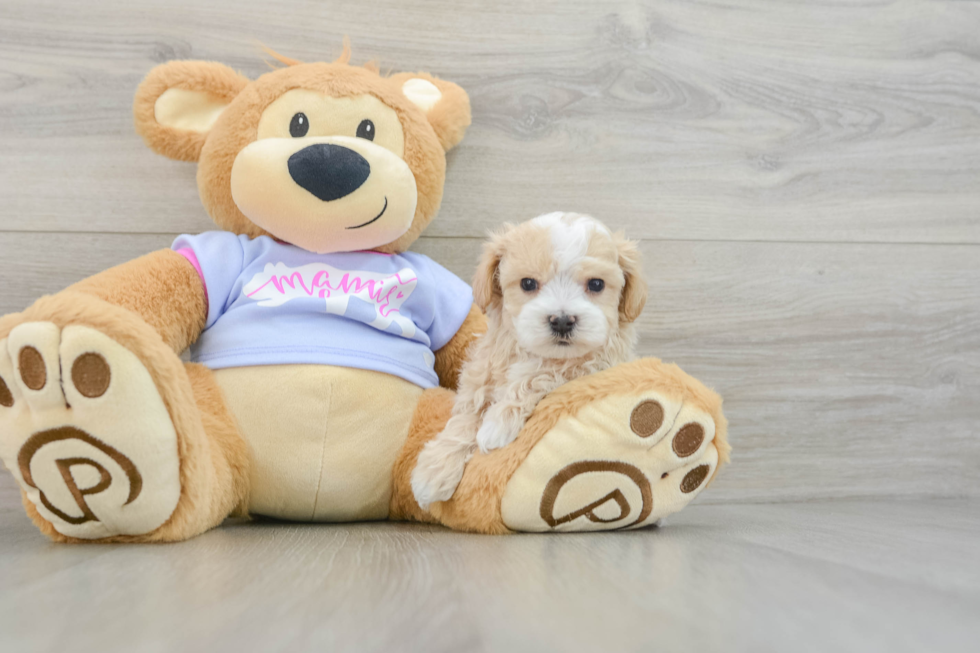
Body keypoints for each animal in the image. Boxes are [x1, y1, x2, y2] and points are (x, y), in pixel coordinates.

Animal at [410, 214, 648, 510]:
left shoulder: (594, 364)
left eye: (596, 284)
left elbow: (543, 372)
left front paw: (497, 423)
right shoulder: (483, 371)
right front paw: (433, 470)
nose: (562, 321)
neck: (534, 352)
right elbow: (467, 414)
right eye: (527, 284)